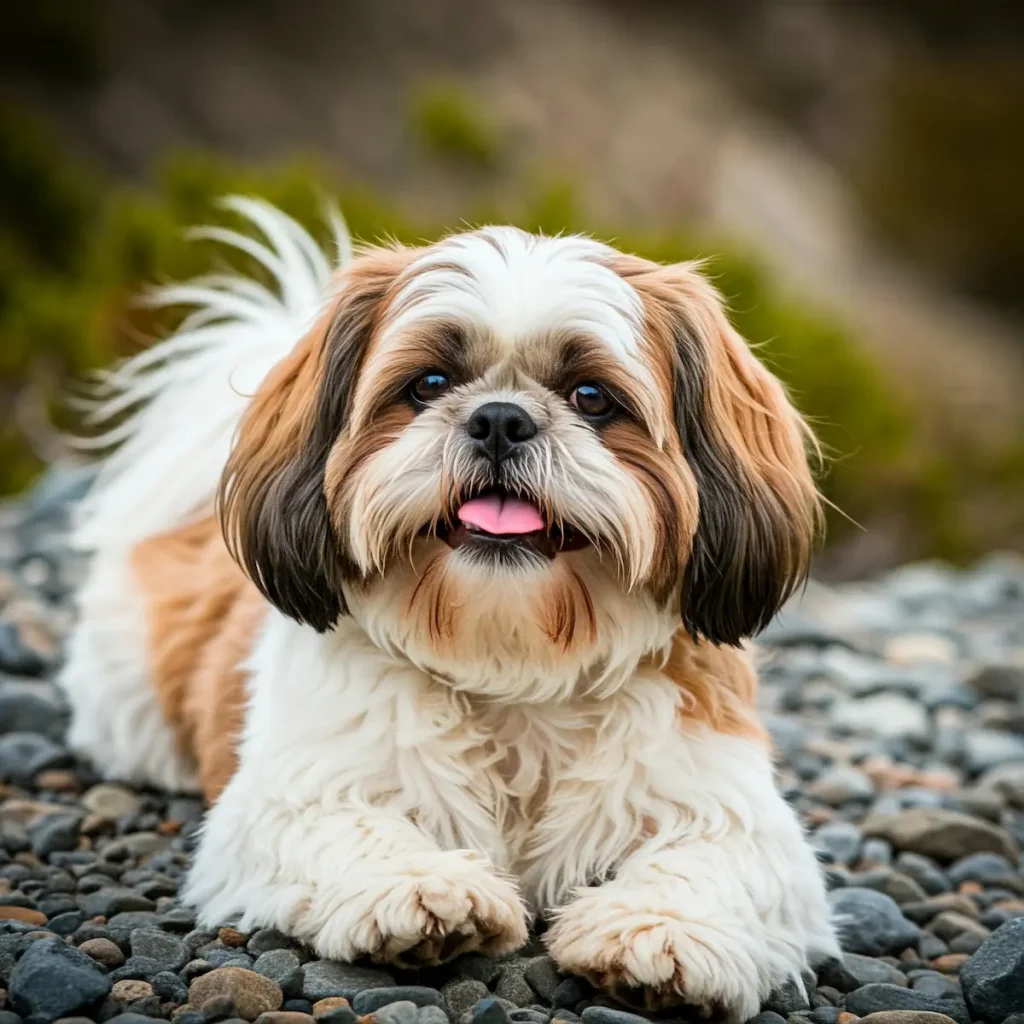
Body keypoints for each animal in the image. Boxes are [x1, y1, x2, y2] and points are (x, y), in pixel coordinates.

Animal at [59, 197, 835, 1015]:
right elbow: (352, 828)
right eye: (428, 384)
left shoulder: (731, 811)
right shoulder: (293, 796)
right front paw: (420, 889)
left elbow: (712, 861)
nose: (499, 418)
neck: (514, 661)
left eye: (592, 397)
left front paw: (658, 930)